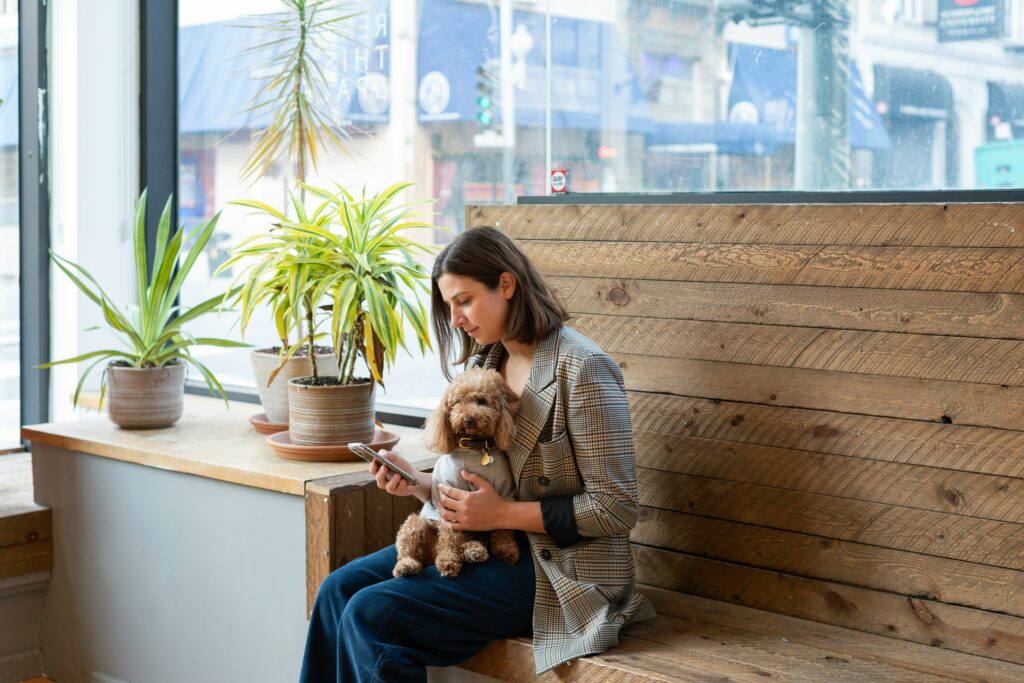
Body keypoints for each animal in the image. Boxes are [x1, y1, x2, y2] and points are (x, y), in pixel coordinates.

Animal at [391, 368, 520, 577]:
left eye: (481, 401)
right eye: (457, 403)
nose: (468, 419)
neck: (476, 449)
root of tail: (429, 557)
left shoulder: (504, 492)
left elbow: (503, 527)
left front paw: (506, 549)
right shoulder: (449, 497)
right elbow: (449, 537)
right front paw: (448, 562)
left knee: (469, 542)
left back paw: (473, 551)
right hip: (415, 524)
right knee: (409, 550)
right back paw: (407, 566)